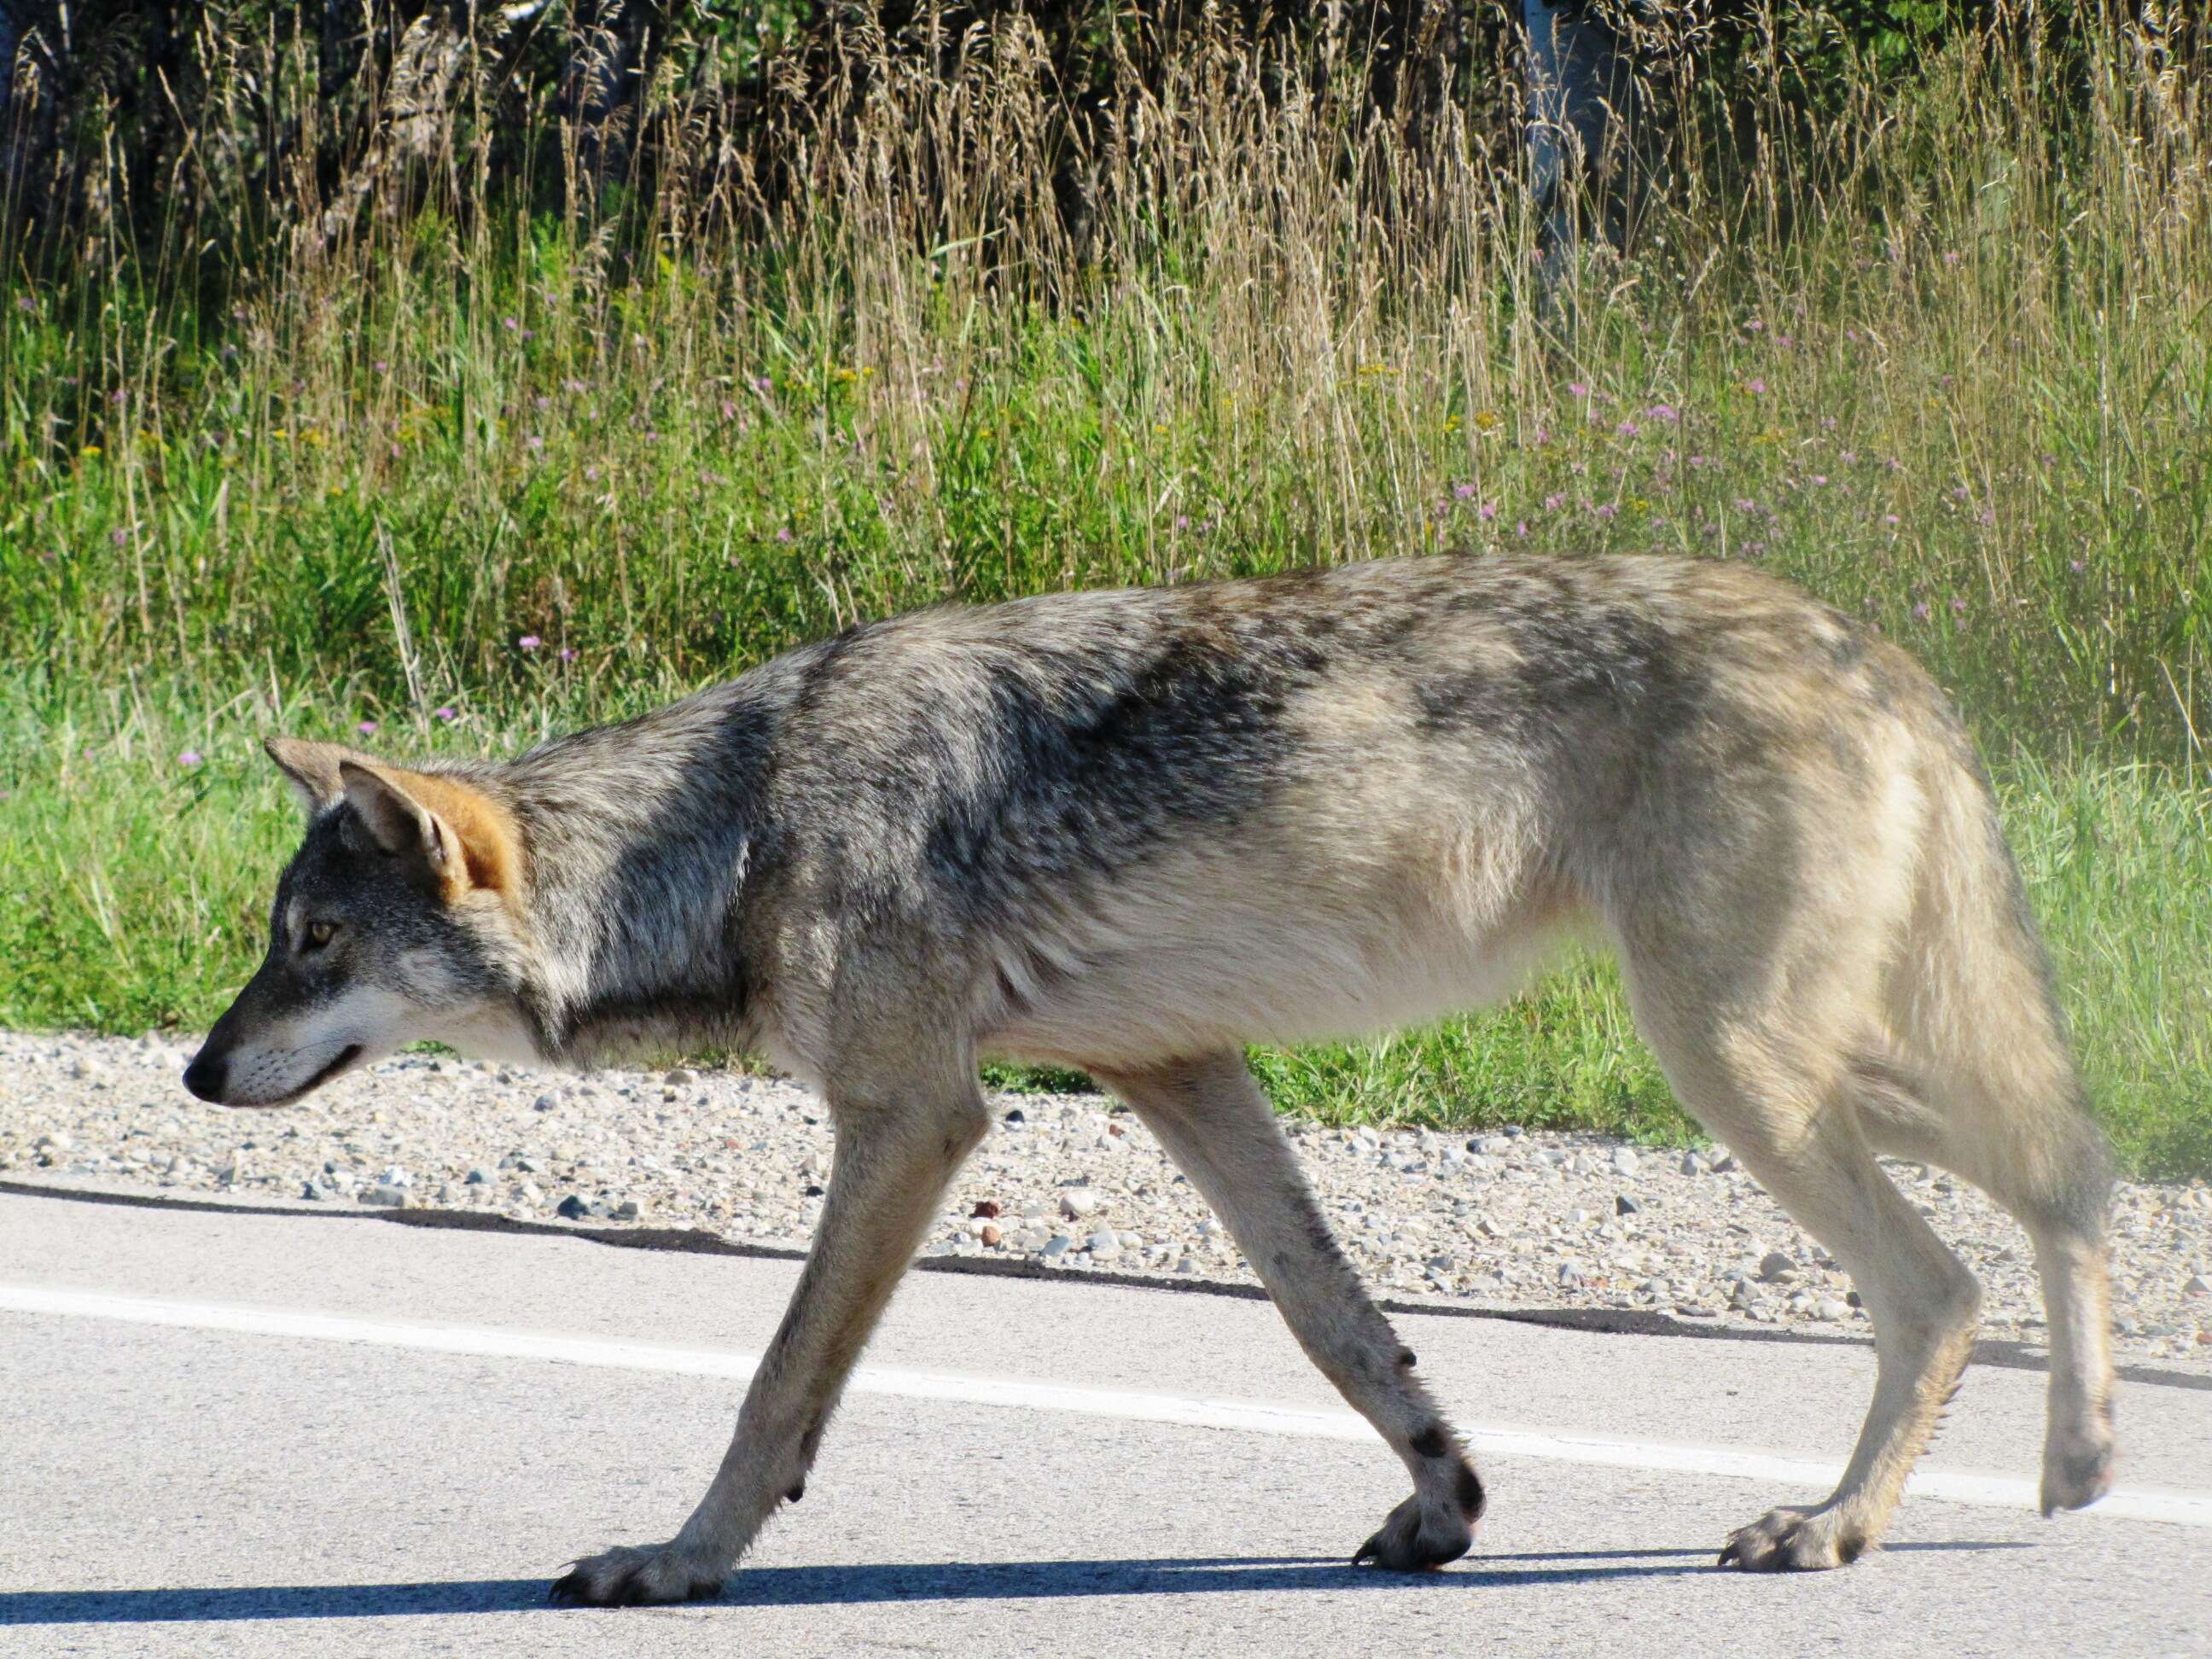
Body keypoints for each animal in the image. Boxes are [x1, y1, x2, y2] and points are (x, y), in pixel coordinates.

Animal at [181, 559, 2114, 1610]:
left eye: (314, 945)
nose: (197, 1069)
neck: (735, 828)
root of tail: (1874, 647)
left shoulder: (915, 1121)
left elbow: (776, 1388)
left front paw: (678, 1564)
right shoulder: (1180, 1073)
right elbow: (1341, 1333)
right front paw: (1442, 1503)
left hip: (1732, 1061)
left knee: (1950, 1279)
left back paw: (1838, 1525)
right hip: (1792, 1052)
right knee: (2072, 1171)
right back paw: (2081, 1457)